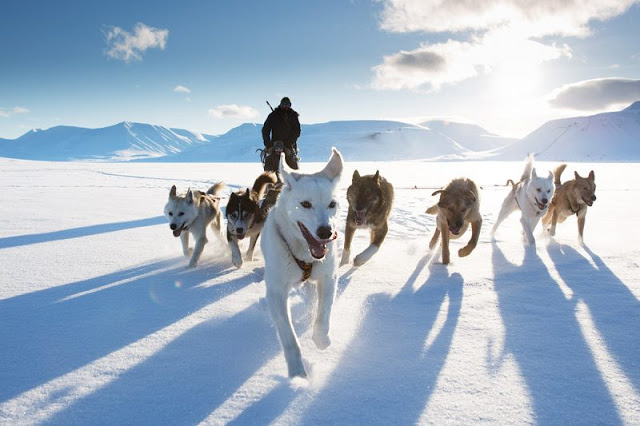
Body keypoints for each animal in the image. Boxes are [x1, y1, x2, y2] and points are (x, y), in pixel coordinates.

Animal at [260, 148, 342, 378]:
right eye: (306, 204)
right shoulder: (276, 291)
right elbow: (288, 337)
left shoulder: (328, 278)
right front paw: (297, 373)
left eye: (332, 204)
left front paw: (322, 339)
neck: (305, 254)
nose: (325, 232)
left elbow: (324, 314)